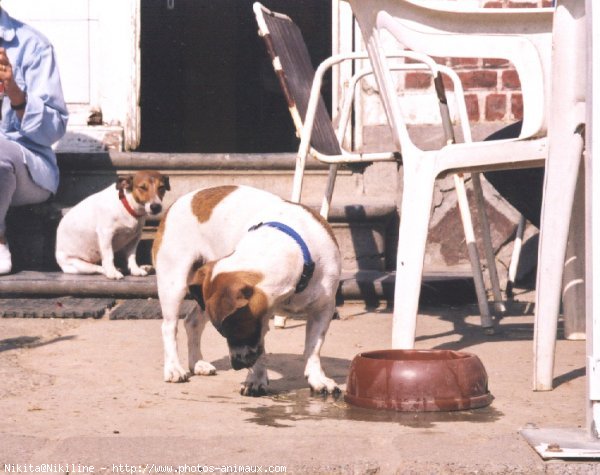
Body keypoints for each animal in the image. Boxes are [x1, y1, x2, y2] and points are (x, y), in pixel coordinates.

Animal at [154, 186, 342, 398]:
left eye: (234, 328)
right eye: (224, 332)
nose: (236, 365)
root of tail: (179, 201)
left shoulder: (323, 309)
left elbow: (313, 348)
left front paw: (317, 378)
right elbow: (261, 352)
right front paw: (256, 379)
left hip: (201, 296)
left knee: (192, 321)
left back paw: (197, 363)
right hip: (173, 283)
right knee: (169, 327)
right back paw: (173, 368)